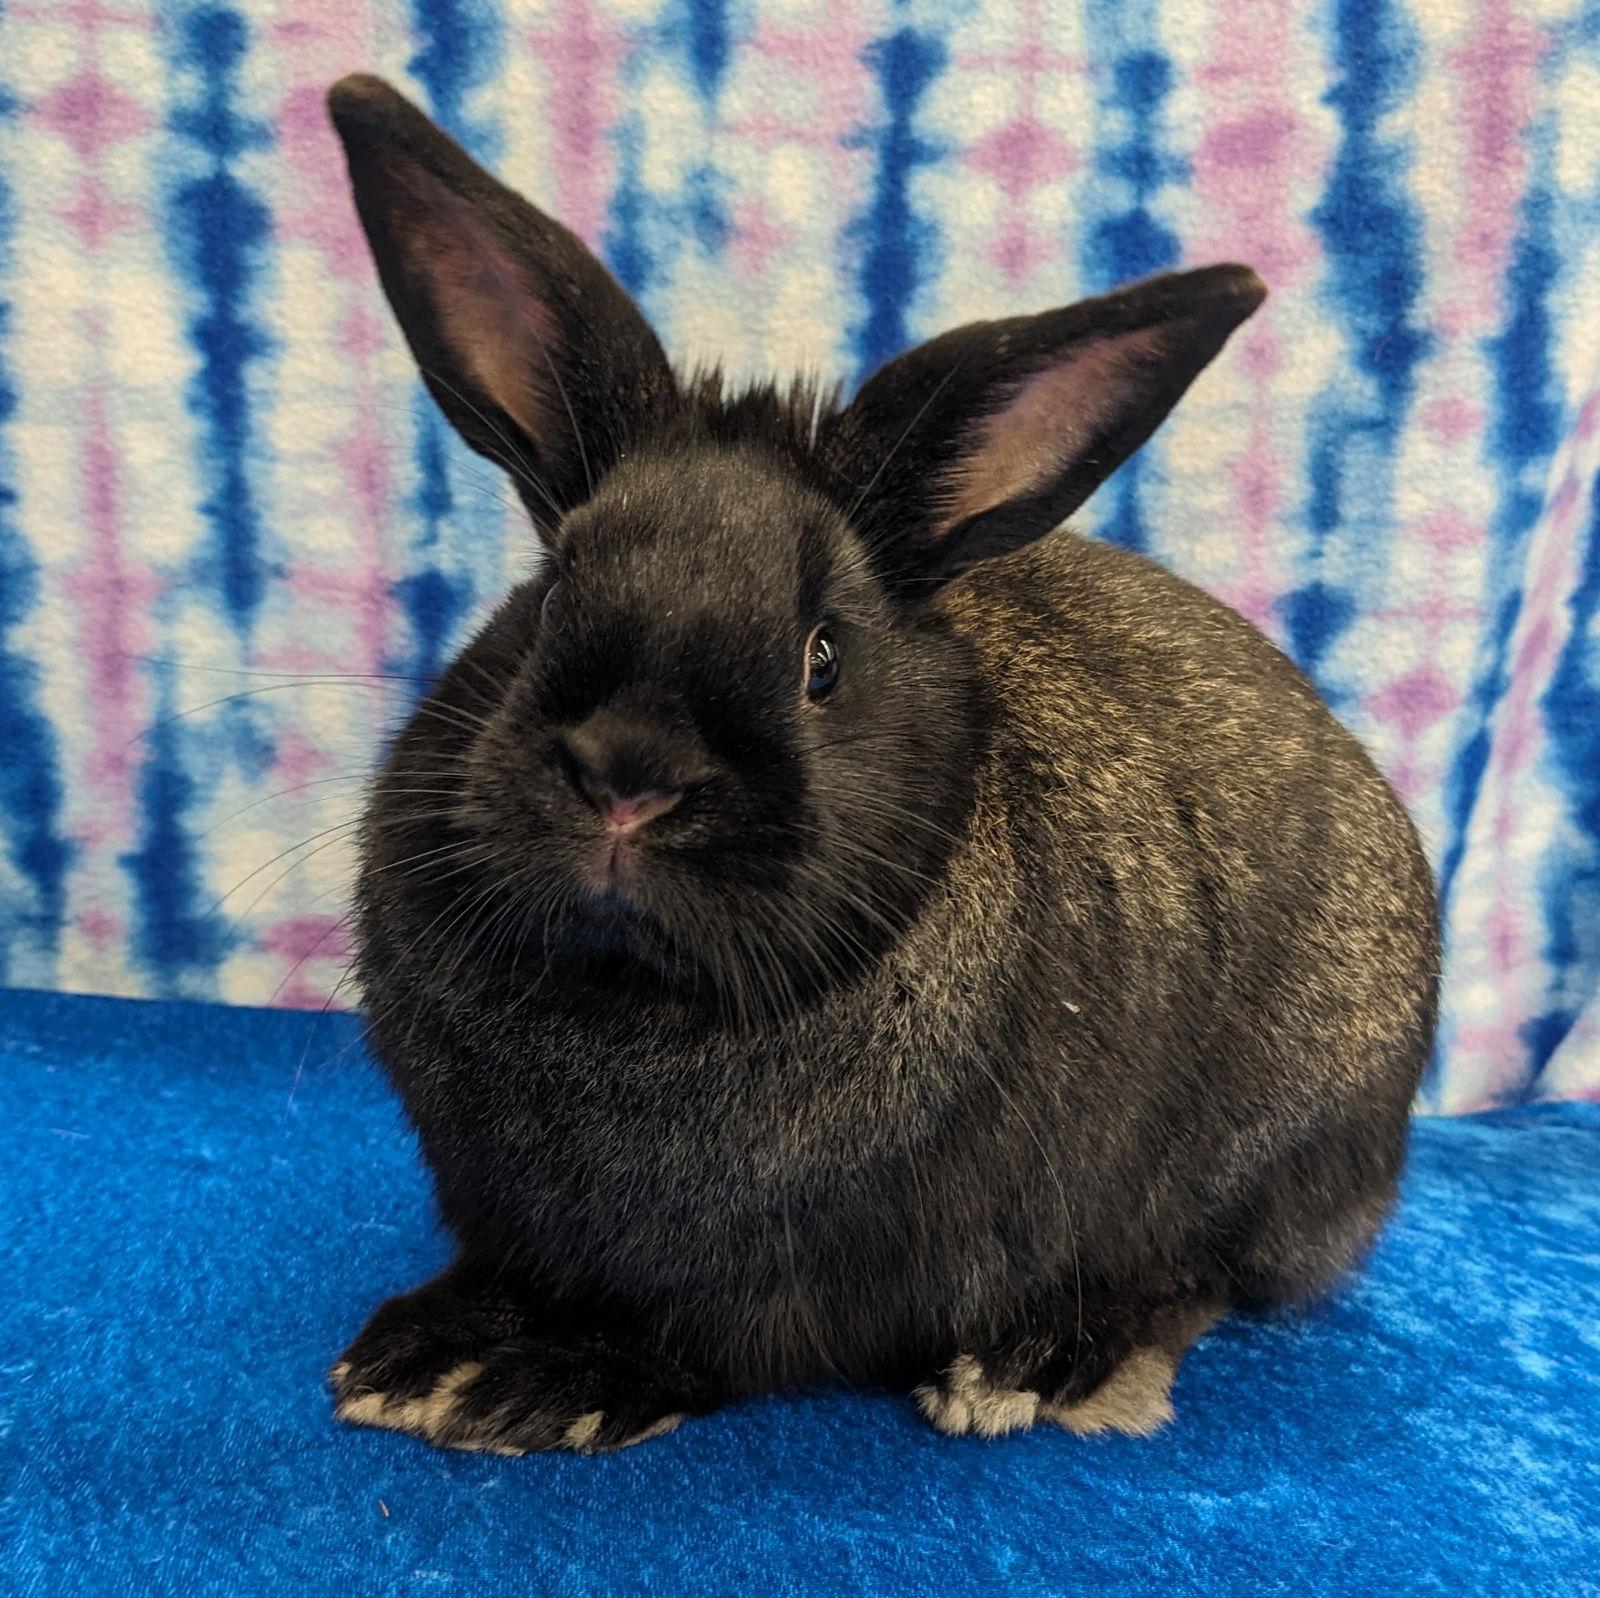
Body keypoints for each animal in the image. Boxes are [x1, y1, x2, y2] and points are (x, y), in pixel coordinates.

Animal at [324, 74, 1439, 1455]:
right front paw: (418, 1346)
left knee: (1198, 1275)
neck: (626, 994)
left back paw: (1041, 1358)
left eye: (822, 658)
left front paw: (523, 1379)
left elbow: (691, 1344)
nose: (629, 777)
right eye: (552, 592)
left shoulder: (783, 1287)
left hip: (1273, 1146)